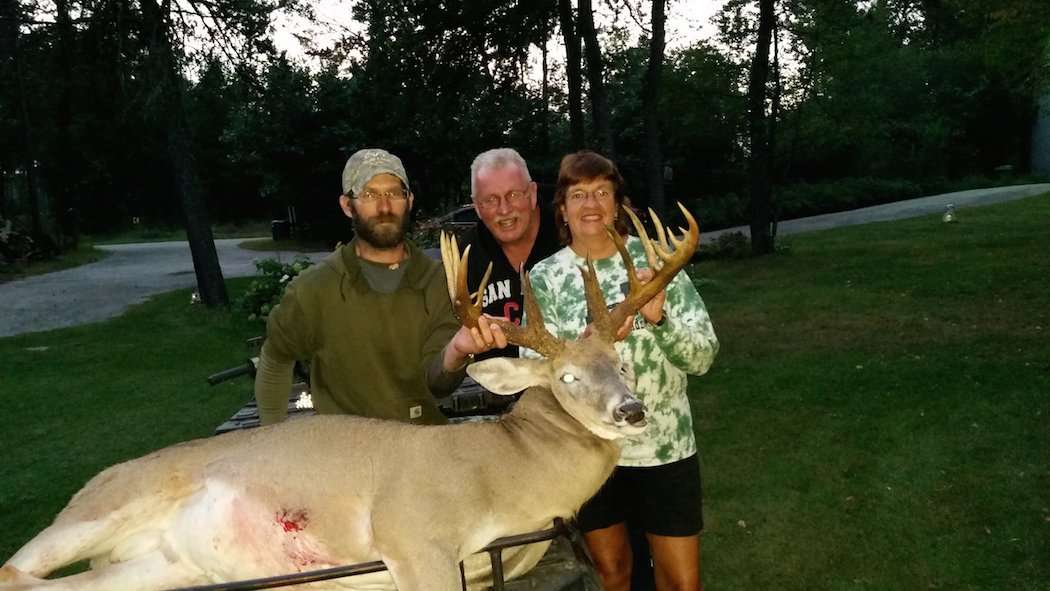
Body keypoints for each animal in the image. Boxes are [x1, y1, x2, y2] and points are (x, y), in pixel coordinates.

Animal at [4, 204, 701, 591]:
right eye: (567, 380)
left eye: (621, 363)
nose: (632, 411)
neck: (500, 473)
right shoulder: (412, 530)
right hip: (102, 507)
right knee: (16, 568)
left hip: (166, 564)